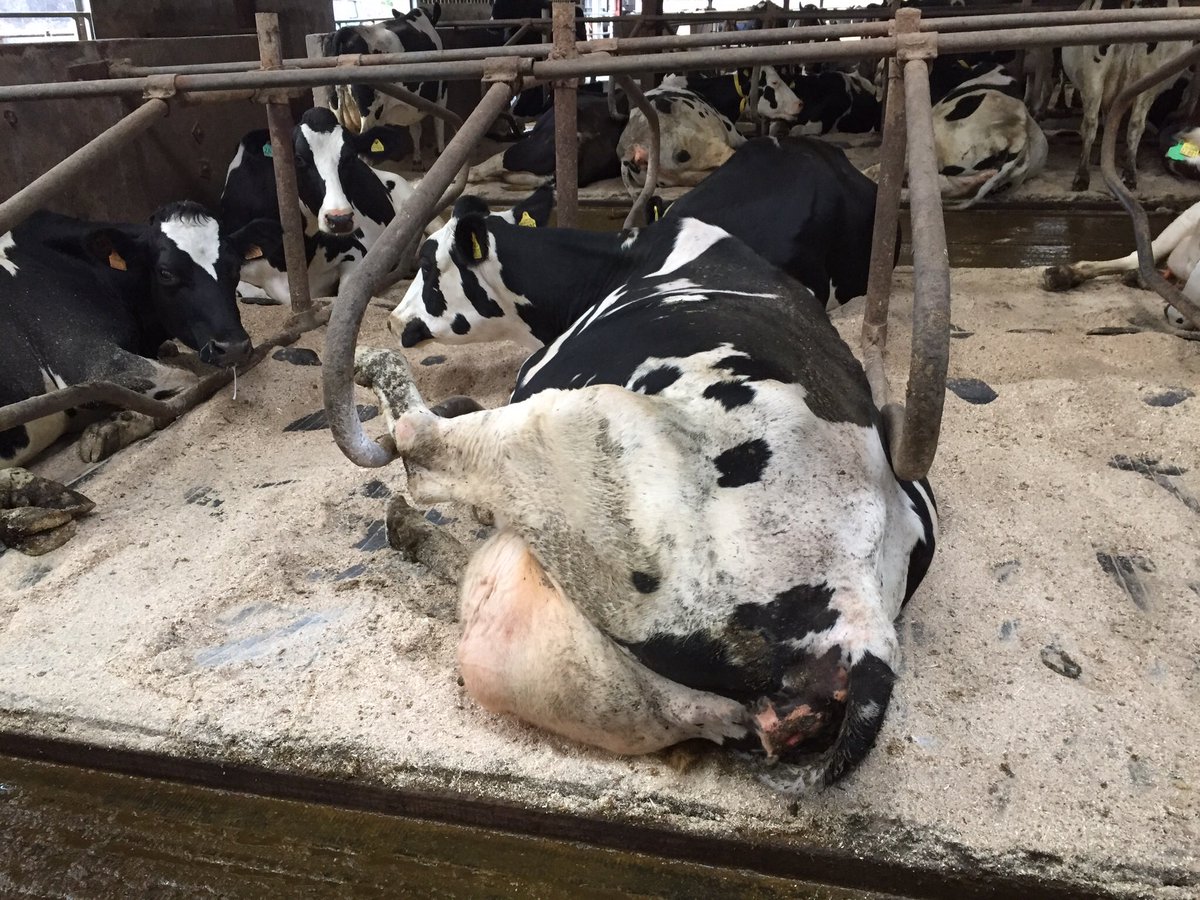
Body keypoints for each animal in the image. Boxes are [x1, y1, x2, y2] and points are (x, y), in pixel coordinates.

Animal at [0, 203, 279, 466]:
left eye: (235, 266)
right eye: (166, 273)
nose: (232, 347)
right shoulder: (86, 358)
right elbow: (183, 381)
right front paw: (117, 425)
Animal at [322, 4, 448, 169]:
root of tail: (345, 32)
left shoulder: (414, 102)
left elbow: (415, 129)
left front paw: (417, 159)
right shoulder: (441, 94)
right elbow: (439, 126)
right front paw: (440, 153)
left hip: (336, 111)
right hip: (369, 116)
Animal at [360, 196, 937, 789]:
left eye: (429, 264)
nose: (394, 318)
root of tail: (865, 631)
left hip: (588, 426)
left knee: (425, 444)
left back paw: (381, 377)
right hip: (653, 692)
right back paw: (408, 527)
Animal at [1062, 0, 1192, 192]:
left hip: (1096, 75)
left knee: (1094, 123)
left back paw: (1084, 176)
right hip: (1145, 75)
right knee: (1132, 124)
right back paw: (1126, 174)